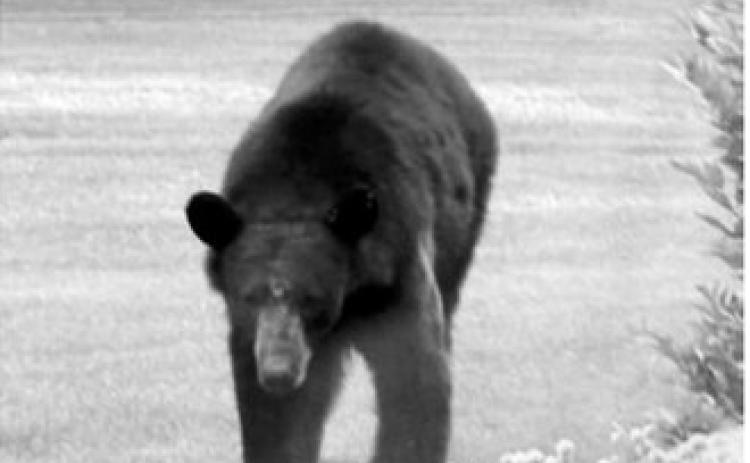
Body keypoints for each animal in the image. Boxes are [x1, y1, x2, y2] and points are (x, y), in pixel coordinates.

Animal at [185, 20, 497, 463]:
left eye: (311, 297)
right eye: (249, 296)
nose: (278, 371)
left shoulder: (399, 261)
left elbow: (416, 380)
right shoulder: (252, 335)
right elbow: (273, 419)